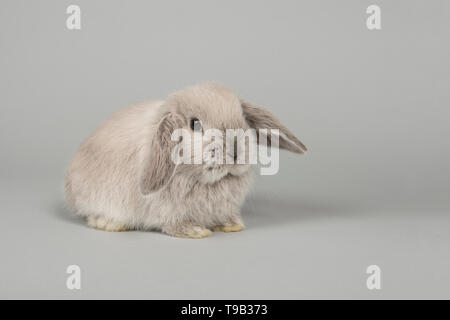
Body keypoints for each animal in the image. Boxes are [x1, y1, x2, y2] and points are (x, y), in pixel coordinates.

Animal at [65, 82, 308, 238]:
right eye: (195, 125)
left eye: (243, 119)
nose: (235, 150)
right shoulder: (165, 209)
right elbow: (172, 223)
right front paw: (195, 231)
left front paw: (231, 225)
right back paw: (109, 223)